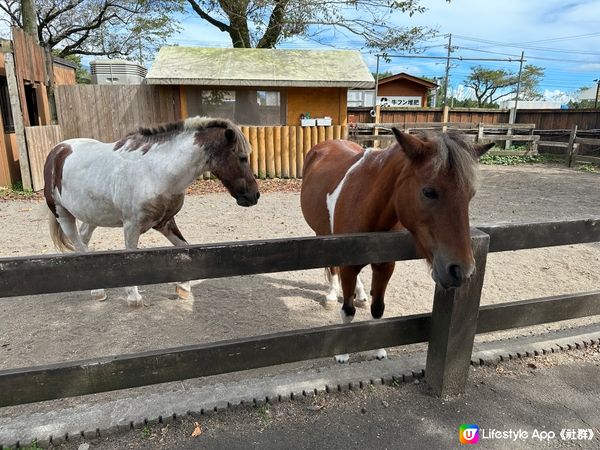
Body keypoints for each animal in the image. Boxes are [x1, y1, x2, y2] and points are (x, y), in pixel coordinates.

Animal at [42, 116, 258, 306]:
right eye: (242, 158)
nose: (254, 195)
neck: (156, 171)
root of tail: (58, 150)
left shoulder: (165, 223)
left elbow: (184, 247)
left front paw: (183, 288)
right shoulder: (131, 226)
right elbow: (130, 258)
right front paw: (133, 298)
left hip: (92, 215)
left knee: (84, 240)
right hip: (63, 214)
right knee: (78, 244)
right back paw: (97, 291)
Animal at [300, 127, 492, 362]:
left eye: (470, 195)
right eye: (429, 191)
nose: (461, 270)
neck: (366, 203)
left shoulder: (385, 266)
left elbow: (378, 308)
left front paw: (378, 349)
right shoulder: (347, 264)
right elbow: (347, 311)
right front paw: (343, 353)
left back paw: (360, 294)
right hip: (323, 235)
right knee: (333, 268)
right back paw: (331, 294)